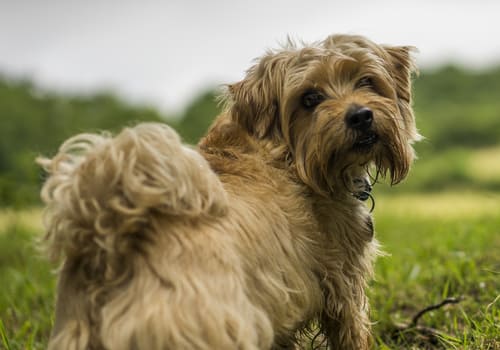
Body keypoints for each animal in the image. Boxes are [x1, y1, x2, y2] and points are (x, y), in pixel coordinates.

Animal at [39, 33, 420, 350]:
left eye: (366, 80)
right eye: (309, 99)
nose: (360, 116)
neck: (284, 152)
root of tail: (112, 242)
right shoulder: (342, 282)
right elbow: (352, 332)